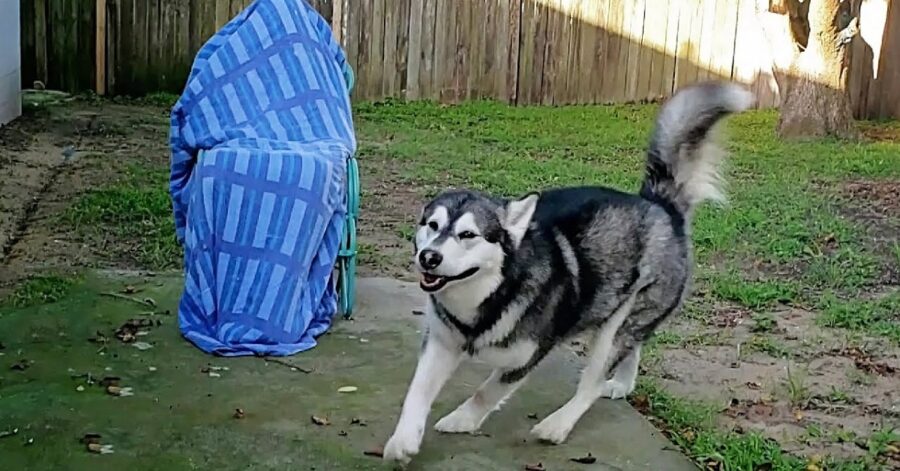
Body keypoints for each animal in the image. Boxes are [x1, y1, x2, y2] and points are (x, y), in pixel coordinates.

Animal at [380, 81, 752, 464]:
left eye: (468, 235)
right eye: (432, 225)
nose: (429, 257)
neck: (490, 297)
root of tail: (661, 206)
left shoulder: (526, 358)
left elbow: (487, 391)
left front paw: (461, 420)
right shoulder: (440, 343)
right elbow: (416, 393)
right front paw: (403, 441)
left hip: (618, 326)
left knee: (593, 381)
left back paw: (558, 424)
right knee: (633, 347)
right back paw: (622, 384)